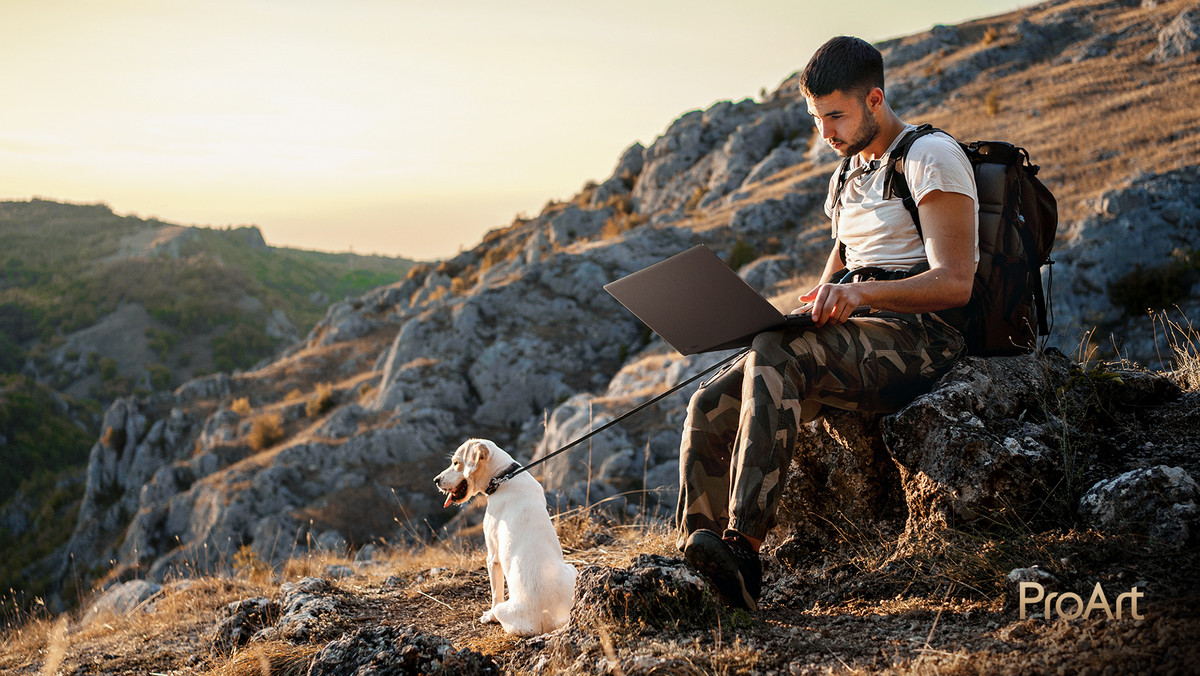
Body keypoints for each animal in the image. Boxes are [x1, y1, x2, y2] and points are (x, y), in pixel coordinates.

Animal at [436, 439, 576, 633]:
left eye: (456, 463)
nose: (436, 480)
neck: (502, 477)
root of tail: (552, 620)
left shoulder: (492, 557)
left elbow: (496, 593)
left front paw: (489, 616)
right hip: (573, 570)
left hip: (505, 608)